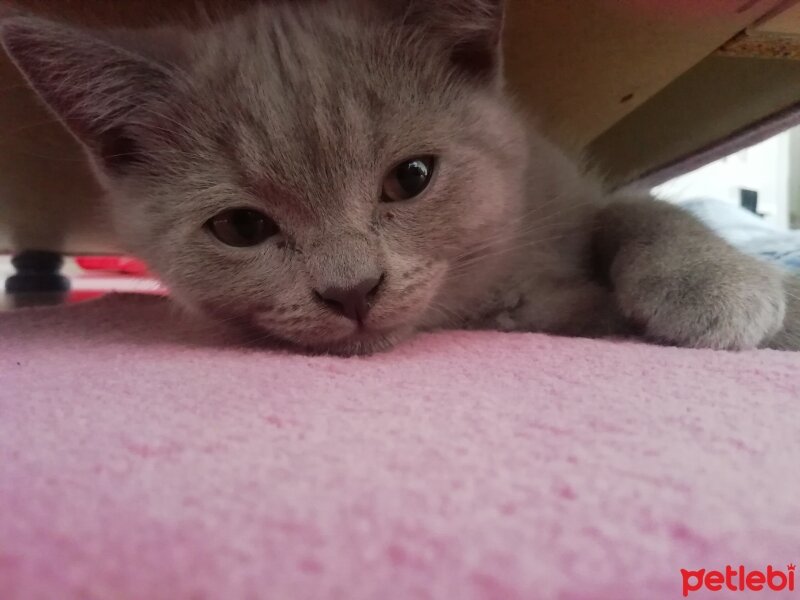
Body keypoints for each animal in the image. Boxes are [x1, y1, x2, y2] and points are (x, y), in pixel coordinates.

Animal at [3, 0, 796, 354]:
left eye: (411, 178)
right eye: (241, 227)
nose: (351, 289)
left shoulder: (566, 188)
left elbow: (636, 208)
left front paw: (718, 282)